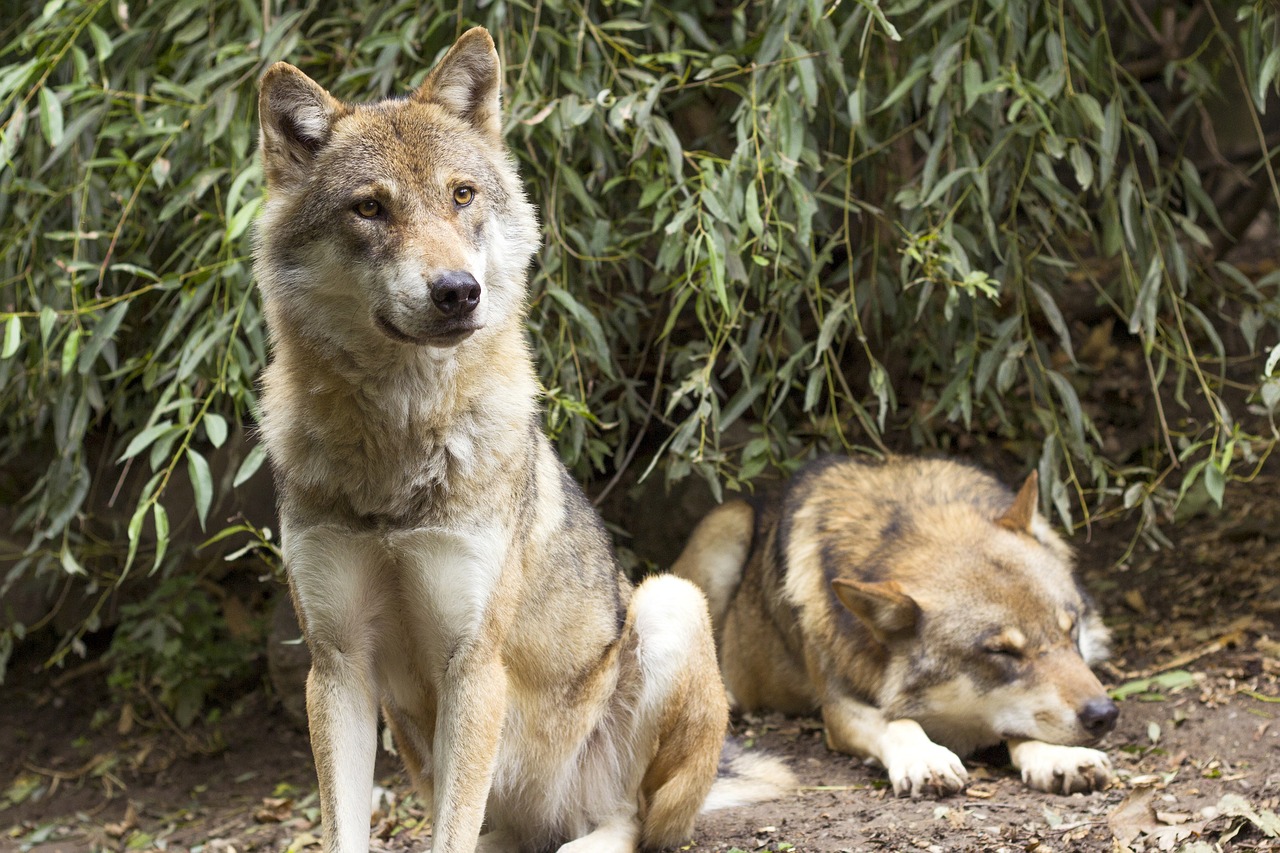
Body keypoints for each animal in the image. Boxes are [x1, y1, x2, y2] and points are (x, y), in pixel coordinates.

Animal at [252, 26, 788, 850]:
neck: (400, 446)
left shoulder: (473, 663)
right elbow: (351, 828)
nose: (457, 291)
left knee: (633, 821)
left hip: (671, 605)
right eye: (370, 208)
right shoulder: (336, 668)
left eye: (461, 195)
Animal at [675, 455, 1116, 794]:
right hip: (725, 530)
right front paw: (925, 758)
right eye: (1002, 651)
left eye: (1070, 630)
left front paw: (1060, 756)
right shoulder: (839, 708)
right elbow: (895, 721)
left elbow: (1020, 724)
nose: (1105, 715)